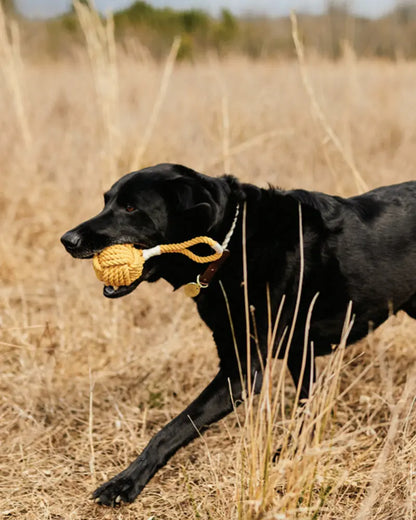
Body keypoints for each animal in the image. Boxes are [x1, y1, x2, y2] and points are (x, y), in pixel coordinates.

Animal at [61, 162, 416, 504]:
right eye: (106, 201)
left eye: (131, 207)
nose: (67, 240)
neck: (231, 244)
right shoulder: (297, 350)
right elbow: (307, 405)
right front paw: (294, 452)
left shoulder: (242, 373)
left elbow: (173, 428)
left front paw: (125, 482)